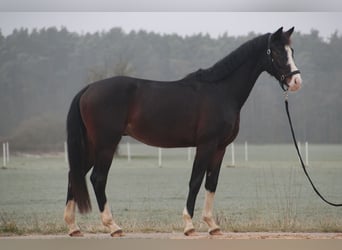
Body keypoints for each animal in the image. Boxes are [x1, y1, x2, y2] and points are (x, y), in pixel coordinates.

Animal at [64, 27, 302, 236]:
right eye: (277, 52)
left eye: (292, 51)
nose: (296, 81)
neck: (221, 91)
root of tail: (88, 89)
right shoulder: (206, 145)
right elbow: (195, 181)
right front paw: (189, 226)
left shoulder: (220, 148)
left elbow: (211, 183)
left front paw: (212, 226)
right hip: (106, 145)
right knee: (98, 178)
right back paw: (113, 226)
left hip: (93, 146)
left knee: (75, 174)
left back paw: (73, 227)